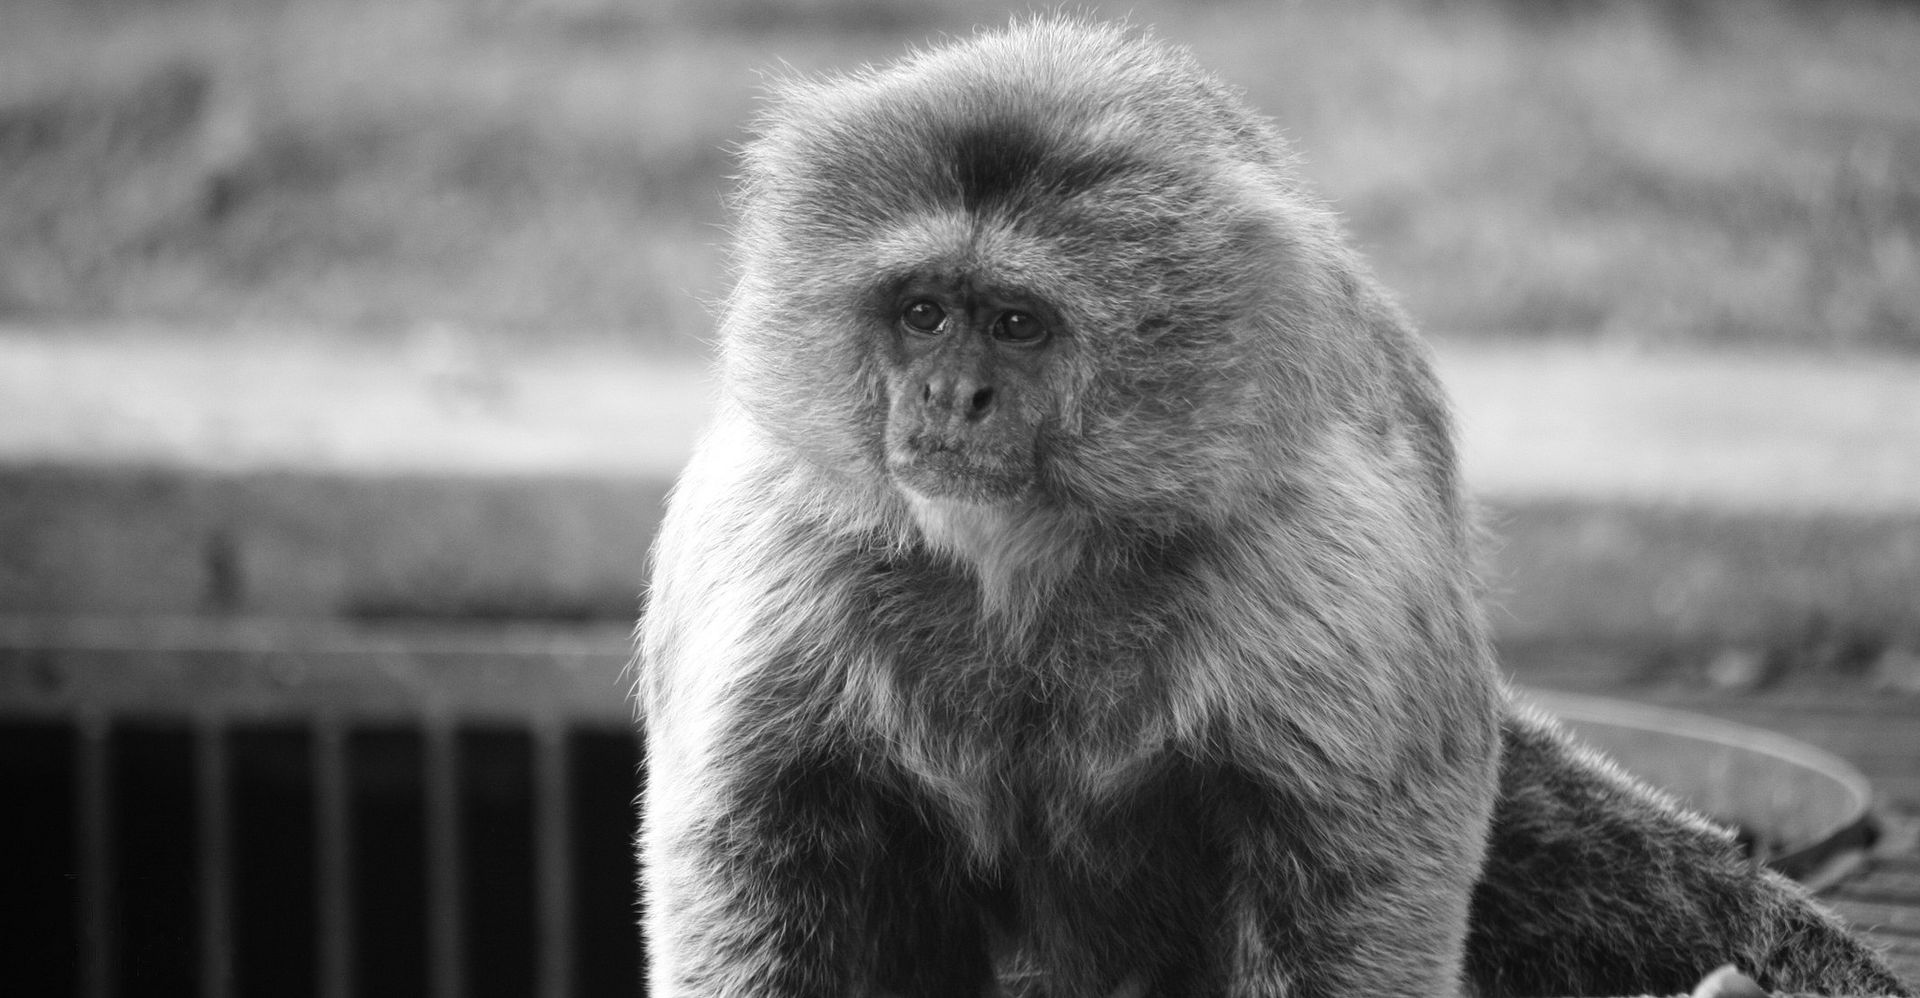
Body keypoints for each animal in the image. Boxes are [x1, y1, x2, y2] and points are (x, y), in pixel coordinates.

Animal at [637, 18, 1911, 998]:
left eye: (1015, 324)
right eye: (922, 312)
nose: (953, 396)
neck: (1029, 565)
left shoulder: (1320, 549)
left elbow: (1364, 871)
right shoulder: (782, 531)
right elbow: (748, 845)